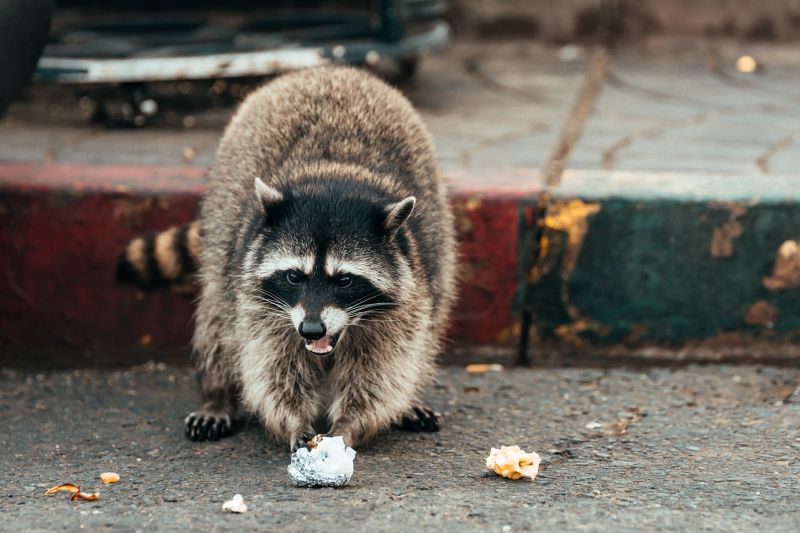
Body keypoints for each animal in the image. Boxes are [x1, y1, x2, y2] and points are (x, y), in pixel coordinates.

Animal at [119, 66, 457, 451]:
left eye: (344, 280)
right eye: (295, 276)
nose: (311, 328)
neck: (335, 175)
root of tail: (327, 69)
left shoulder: (404, 300)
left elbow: (381, 371)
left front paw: (349, 423)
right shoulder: (258, 299)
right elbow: (272, 366)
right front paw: (294, 419)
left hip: (438, 248)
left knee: (429, 327)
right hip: (223, 241)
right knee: (216, 319)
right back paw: (216, 396)